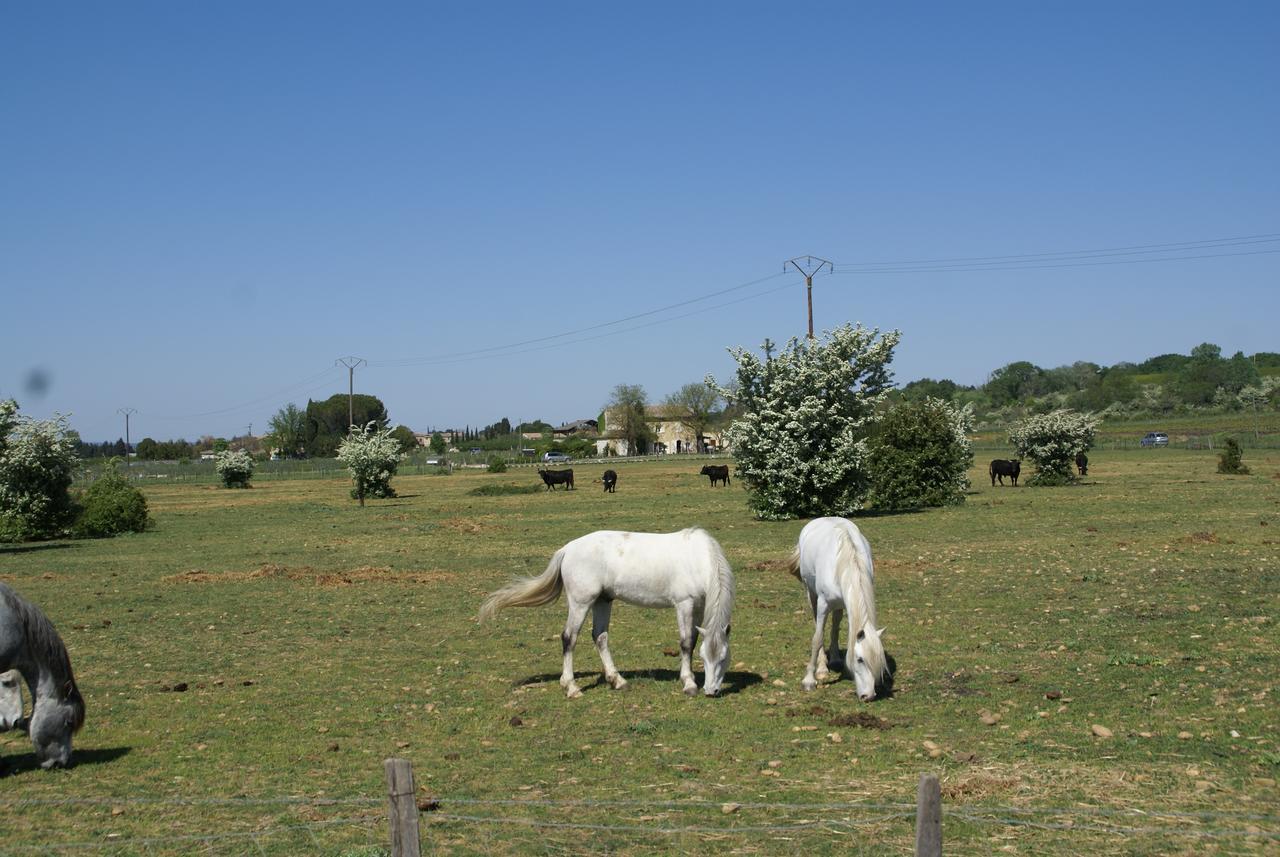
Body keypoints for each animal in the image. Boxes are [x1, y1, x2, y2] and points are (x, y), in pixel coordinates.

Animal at [481, 526, 737, 700]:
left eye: (723, 657)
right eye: (706, 658)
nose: (711, 690)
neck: (698, 559)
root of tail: (567, 549)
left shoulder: (699, 605)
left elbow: (693, 641)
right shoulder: (684, 604)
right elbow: (685, 643)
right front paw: (689, 684)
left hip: (602, 601)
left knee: (600, 637)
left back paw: (618, 680)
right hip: (581, 602)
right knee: (569, 638)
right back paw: (571, 687)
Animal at [783, 519, 885, 700]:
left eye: (878, 659)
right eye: (860, 659)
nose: (868, 696)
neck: (847, 562)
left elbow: (836, 630)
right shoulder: (823, 604)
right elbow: (817, 639)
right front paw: (809, 680)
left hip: (838, 604)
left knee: (835, 626)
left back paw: (835, 659)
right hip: (811, 594)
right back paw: (822, 667)